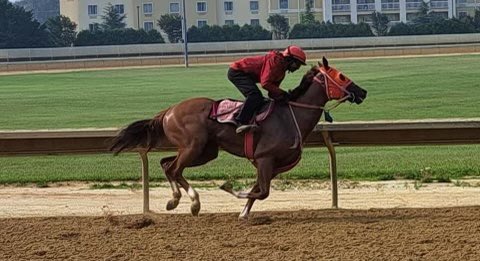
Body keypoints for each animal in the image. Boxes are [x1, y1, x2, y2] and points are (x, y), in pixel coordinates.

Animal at [110, 55, 366, 218]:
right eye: (342, 76)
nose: (362, 92)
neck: (290, 115)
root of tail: (168, 111)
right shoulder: (264, 158)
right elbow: (261, 191)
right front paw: (228, 188)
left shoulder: (273, 165)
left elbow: (259, 190)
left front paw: (243, 212)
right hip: (194, 146)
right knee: (174, 169)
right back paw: (193, 202)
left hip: (206, 151)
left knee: (167, 164)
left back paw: (176, 200)